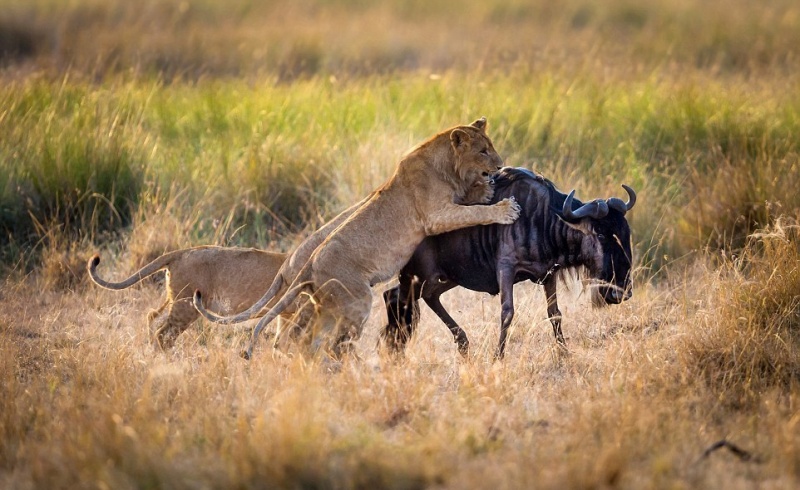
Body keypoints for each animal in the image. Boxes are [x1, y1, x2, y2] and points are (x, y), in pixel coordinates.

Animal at [193, 116, 520, 358]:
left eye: (490, 146)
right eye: (483, 151)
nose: (500, 165)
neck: (445, 164)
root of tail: (301, 266)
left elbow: (470, 203)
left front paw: (485, 190)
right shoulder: (435, 216)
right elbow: (473, 213)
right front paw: (505, 208)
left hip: (326, 306)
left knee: (305, 342)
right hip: (355, 300)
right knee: (313, 342)